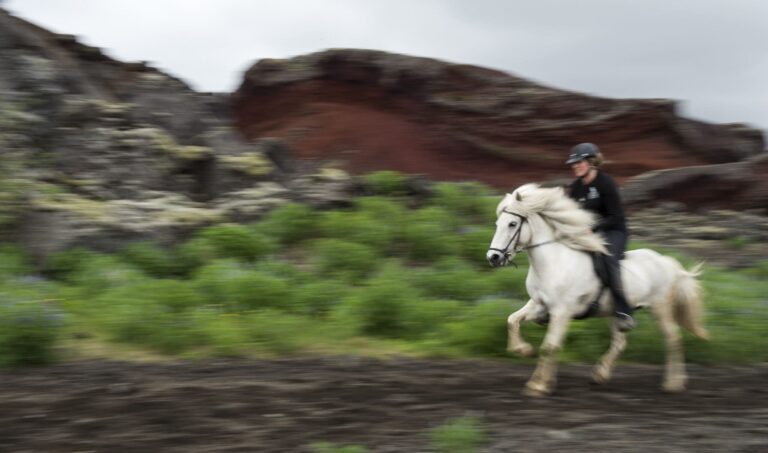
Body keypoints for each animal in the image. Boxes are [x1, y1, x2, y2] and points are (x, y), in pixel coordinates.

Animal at [486, 183, 708, 397]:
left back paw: (673, 383)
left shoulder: (561, 312)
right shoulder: (539, 305)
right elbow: (513, 321)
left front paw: (538, 385)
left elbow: (550, 346)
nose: (493, 257)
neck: (553, 262)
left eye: (512, 224)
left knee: (672, 338)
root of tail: (666, 262)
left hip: (659, 308)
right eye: (497, 224)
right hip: (615, 312)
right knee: (620, 342)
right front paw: (524, 351)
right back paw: (600, 374)